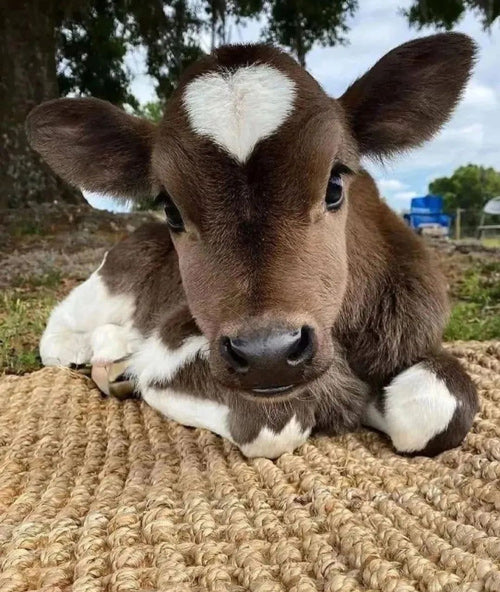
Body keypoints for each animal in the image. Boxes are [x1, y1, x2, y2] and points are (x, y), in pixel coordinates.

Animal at [26, 32, 476, 458]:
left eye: (334, 184)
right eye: (171, 209)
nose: (267, 354)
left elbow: (437, 409)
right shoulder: (172, 347)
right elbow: (275, 423)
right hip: (112, 279)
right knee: (60, 330)